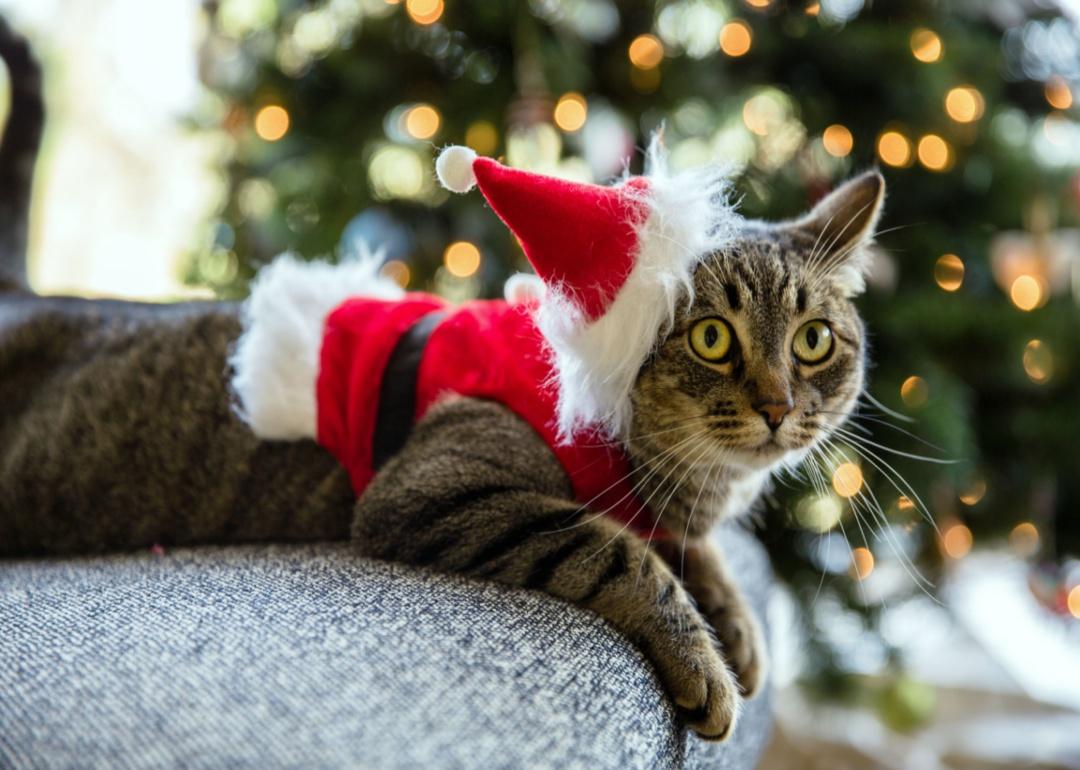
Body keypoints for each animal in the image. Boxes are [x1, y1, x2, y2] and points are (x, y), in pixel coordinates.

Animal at [0, 22, 881, 738]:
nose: (779, 407)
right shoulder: (435, 488)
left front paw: (737, 624)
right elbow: (619, 549)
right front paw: (702, 656)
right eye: (711, 337)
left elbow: (692, 550)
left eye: (812, 341)